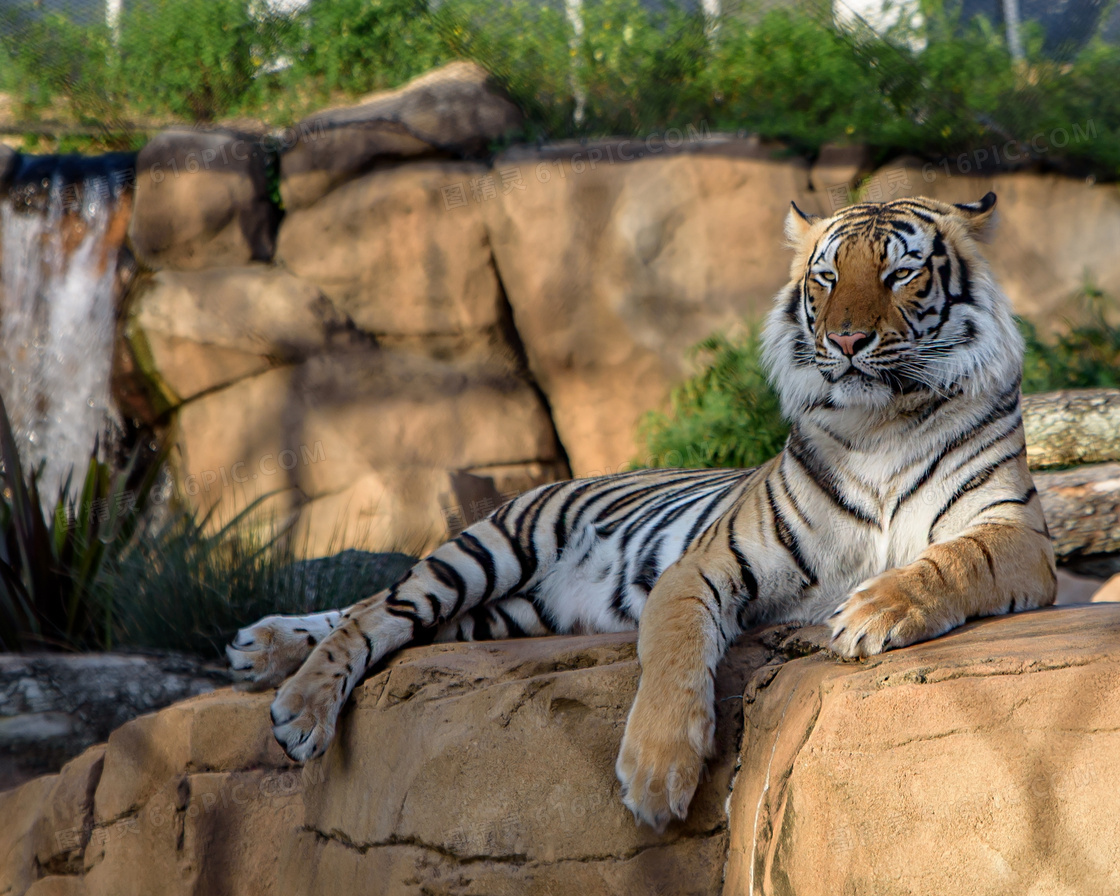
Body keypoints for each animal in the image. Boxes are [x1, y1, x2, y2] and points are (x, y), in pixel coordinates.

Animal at [229, 192, 1057, 828]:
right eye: (825, 278)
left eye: (899, 272)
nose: (846, 339)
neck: (880, 421)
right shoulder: (705, 565)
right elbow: (675, 652)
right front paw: (658, 778)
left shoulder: (1016, 531)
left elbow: (949, 561)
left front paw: (874, 610)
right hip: (492, 549)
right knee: (375, 610)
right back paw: (293, 700)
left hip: (500, 614)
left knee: (391, 618)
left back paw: (260, 651)